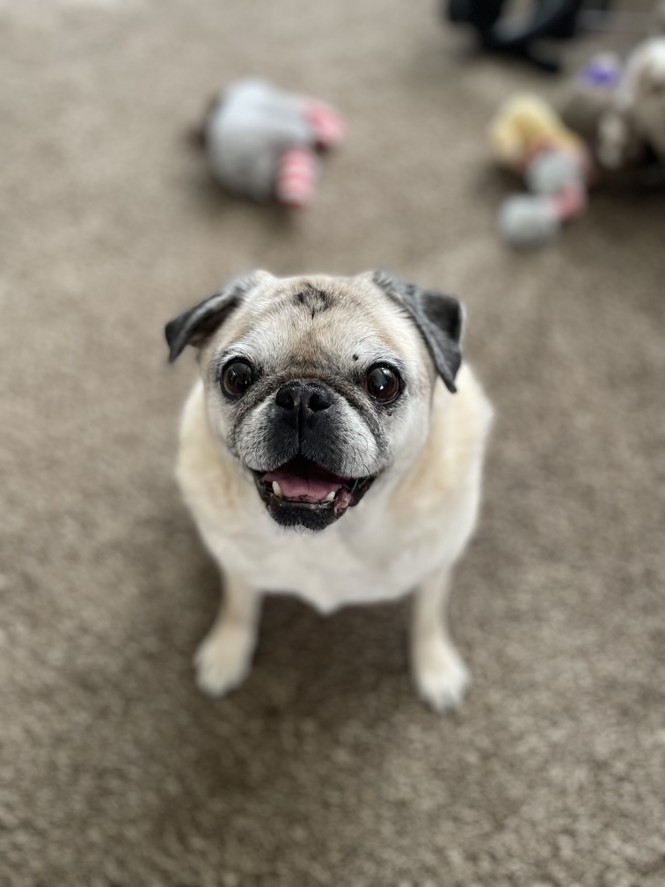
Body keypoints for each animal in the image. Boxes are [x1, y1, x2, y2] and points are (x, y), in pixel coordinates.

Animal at [165, 268, 492, 712]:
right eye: (237, 377)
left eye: (383, 382)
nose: (302, 395)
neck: (326, 538)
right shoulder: (235, 564)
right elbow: (238, 606)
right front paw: (227, 651)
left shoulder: (435, 566)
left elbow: (428, 616)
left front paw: (435, 667)